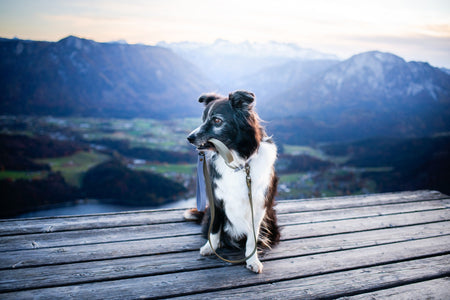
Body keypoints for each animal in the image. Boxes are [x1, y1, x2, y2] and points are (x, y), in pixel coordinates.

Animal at [185, 90, 278, 274]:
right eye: (203, 119)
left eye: (217, 120)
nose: (189, 138)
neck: (238, 162)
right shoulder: (216, 200)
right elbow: (215, 228)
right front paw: (210, 247)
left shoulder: (259, 206)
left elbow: (253, 238)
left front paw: (252, 260)